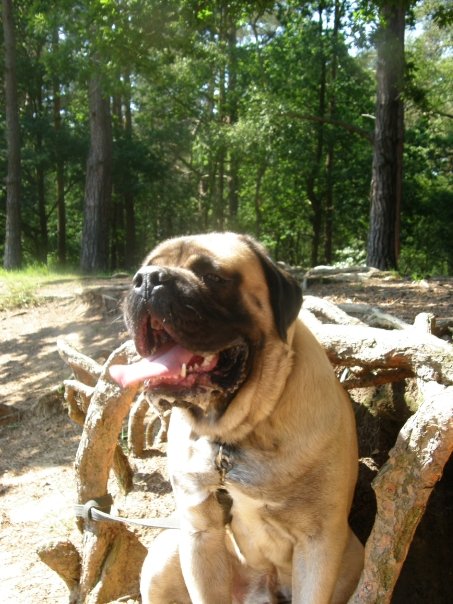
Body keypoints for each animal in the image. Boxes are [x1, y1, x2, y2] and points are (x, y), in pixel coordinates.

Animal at [111, 234, 362, 600]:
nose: (148, 279)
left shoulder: (320, 541)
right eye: (143, 270)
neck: (234, 433)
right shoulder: (199, 532)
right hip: (166, 552)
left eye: (213, 277)